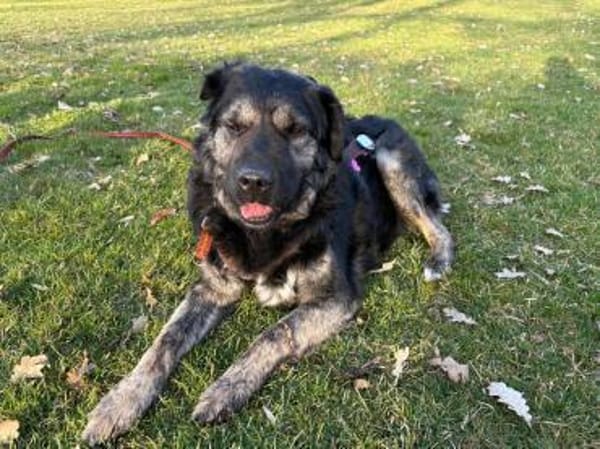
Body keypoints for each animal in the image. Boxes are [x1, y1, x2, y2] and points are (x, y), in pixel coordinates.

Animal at [82, 62, 454, 445]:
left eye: (295, 130)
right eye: (234, 126)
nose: (253, 182)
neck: (263, 233)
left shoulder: (335, 298)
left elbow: (273, 334)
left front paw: (226, 389)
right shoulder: (213, 289)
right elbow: (163, 341)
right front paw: (120, 401)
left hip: (388, 160)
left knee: (438, 226)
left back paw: (439, 261)